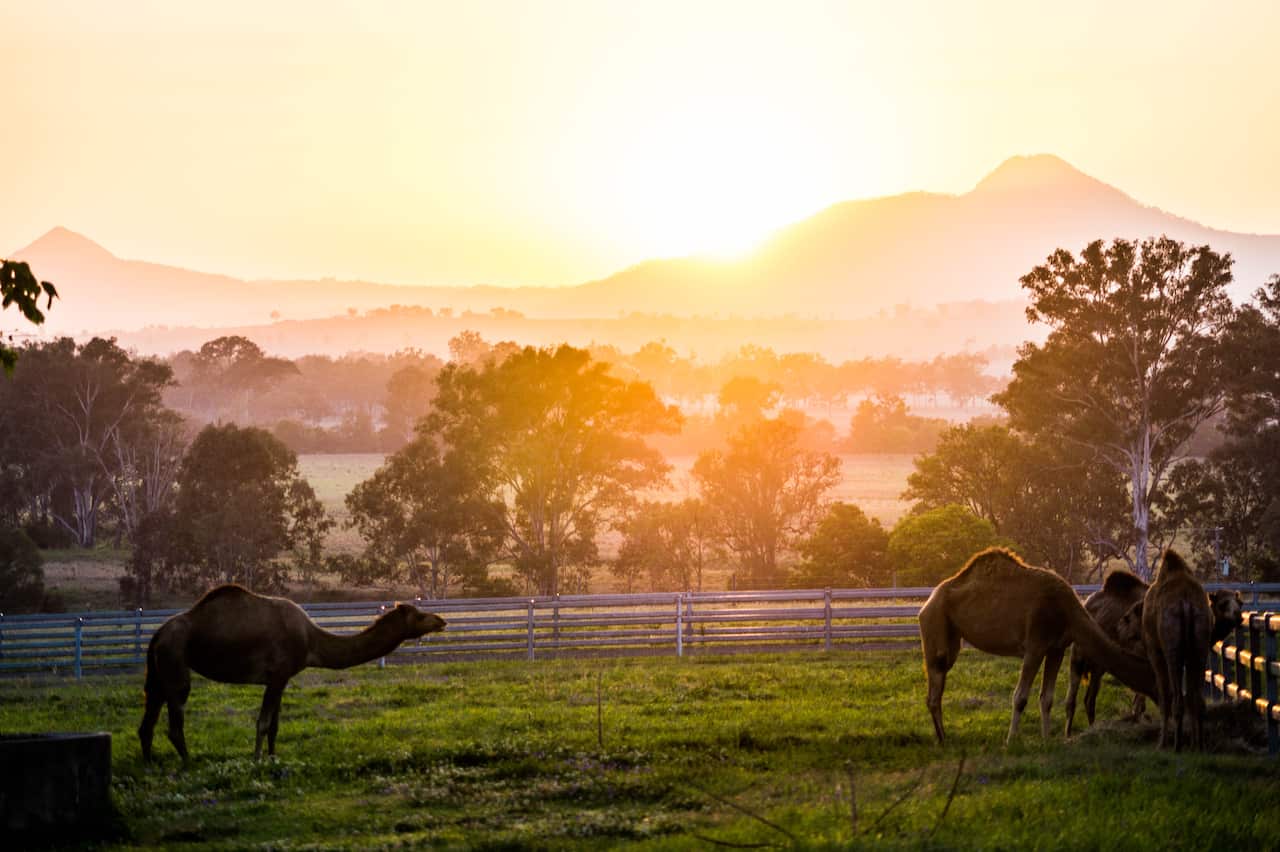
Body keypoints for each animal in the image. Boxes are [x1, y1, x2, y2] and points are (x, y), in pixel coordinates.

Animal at [139, 584, 446, 763]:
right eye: (420, 615)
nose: (441, 620)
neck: (311, 640)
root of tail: (158, 634)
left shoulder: (283, 678)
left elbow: (275, 725)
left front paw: (274, 759)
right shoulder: (277, 674)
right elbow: (263, 723)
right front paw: (256, 761)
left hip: (157, 672)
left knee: (148, 720)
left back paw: (150, 765)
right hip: (175, 663)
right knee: (174, 721)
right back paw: (188, 764)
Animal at [1063, 569, 1149, 735]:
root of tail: (1085, 603)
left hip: (1098, 665)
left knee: (1086, 699)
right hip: (1081, 657)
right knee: (1078, 700)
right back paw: (1073, 735)